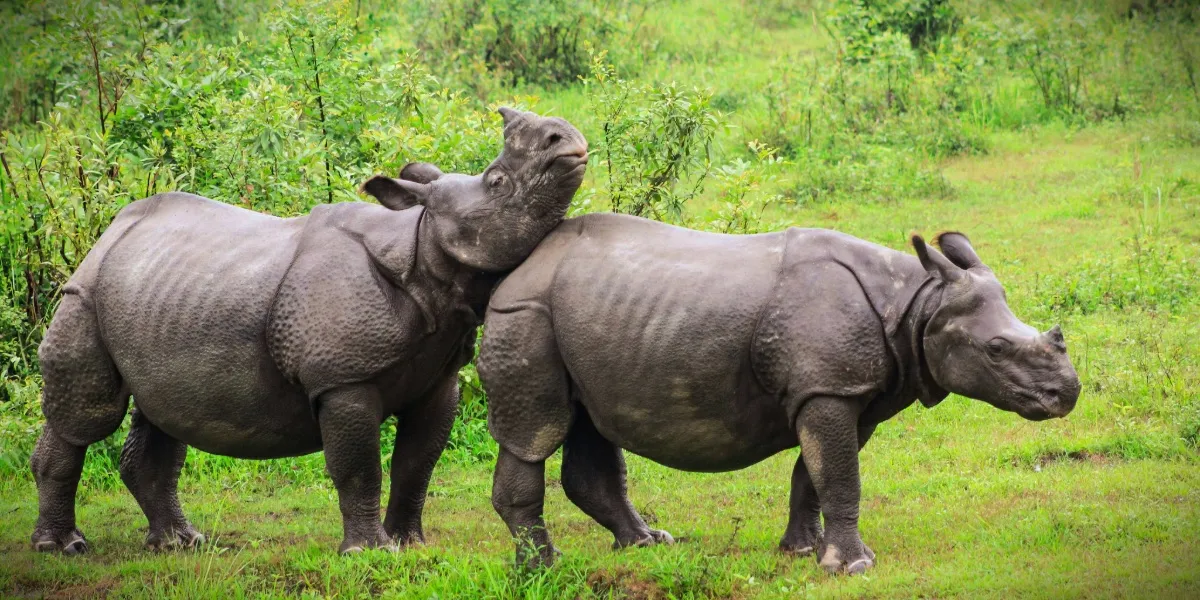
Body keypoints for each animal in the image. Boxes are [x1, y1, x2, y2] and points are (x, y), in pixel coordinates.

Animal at [30, 108, 588, 555]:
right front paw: (370, 553)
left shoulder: (438, 378)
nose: (565, 139)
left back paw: (180, 544)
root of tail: (110, 231)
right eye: (497, 182)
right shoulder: (342, 378)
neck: (422, 248)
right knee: (87, 417)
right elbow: (360, 466)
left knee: (163, 413)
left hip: (158, 293)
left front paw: (411, 545)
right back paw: (64, 548)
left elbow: (417, 463)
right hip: (84, 293)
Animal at [478, 214, 1081, 574]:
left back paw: (648, 543)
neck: (916, 303)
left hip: (586, 317)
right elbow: (839, 474)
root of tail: (521, 264)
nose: (1067, 393)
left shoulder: (843, 389)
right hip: (524, 312)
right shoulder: (829, 386)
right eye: (997, 349)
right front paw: (853, 567)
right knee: (536, 430)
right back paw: (544, 566)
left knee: (589, 423)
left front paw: (804, 551)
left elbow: (814, 474)